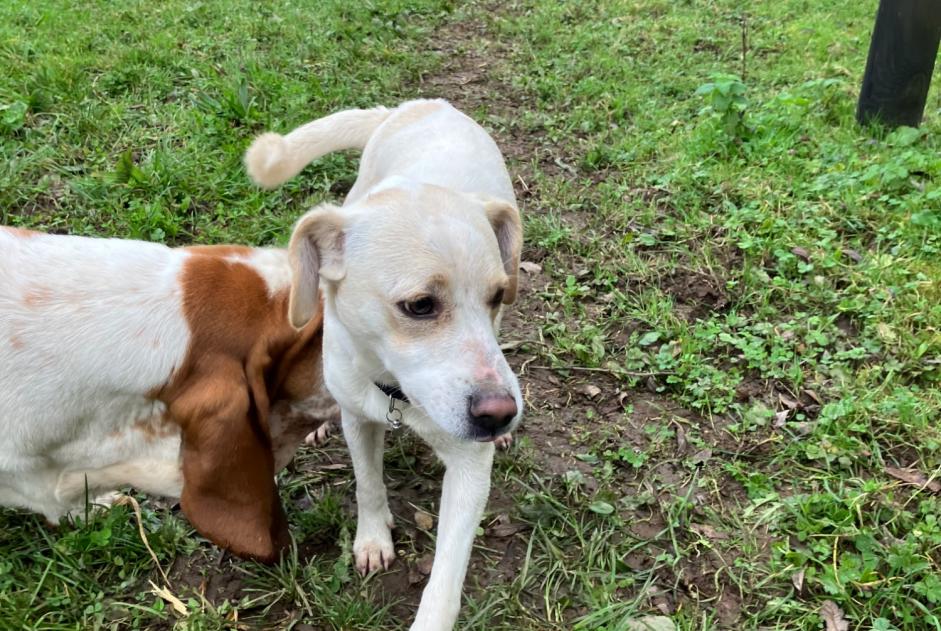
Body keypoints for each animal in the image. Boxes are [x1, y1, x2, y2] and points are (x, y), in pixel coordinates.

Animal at [246, 99, 524, 628]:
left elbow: (445, 583)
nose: (500, 414)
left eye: (498, 297)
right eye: (420, 305)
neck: (396, 393)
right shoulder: (359, 419)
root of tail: (422, 104)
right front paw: (373, 539)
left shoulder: (469, 465)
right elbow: (367, 484)